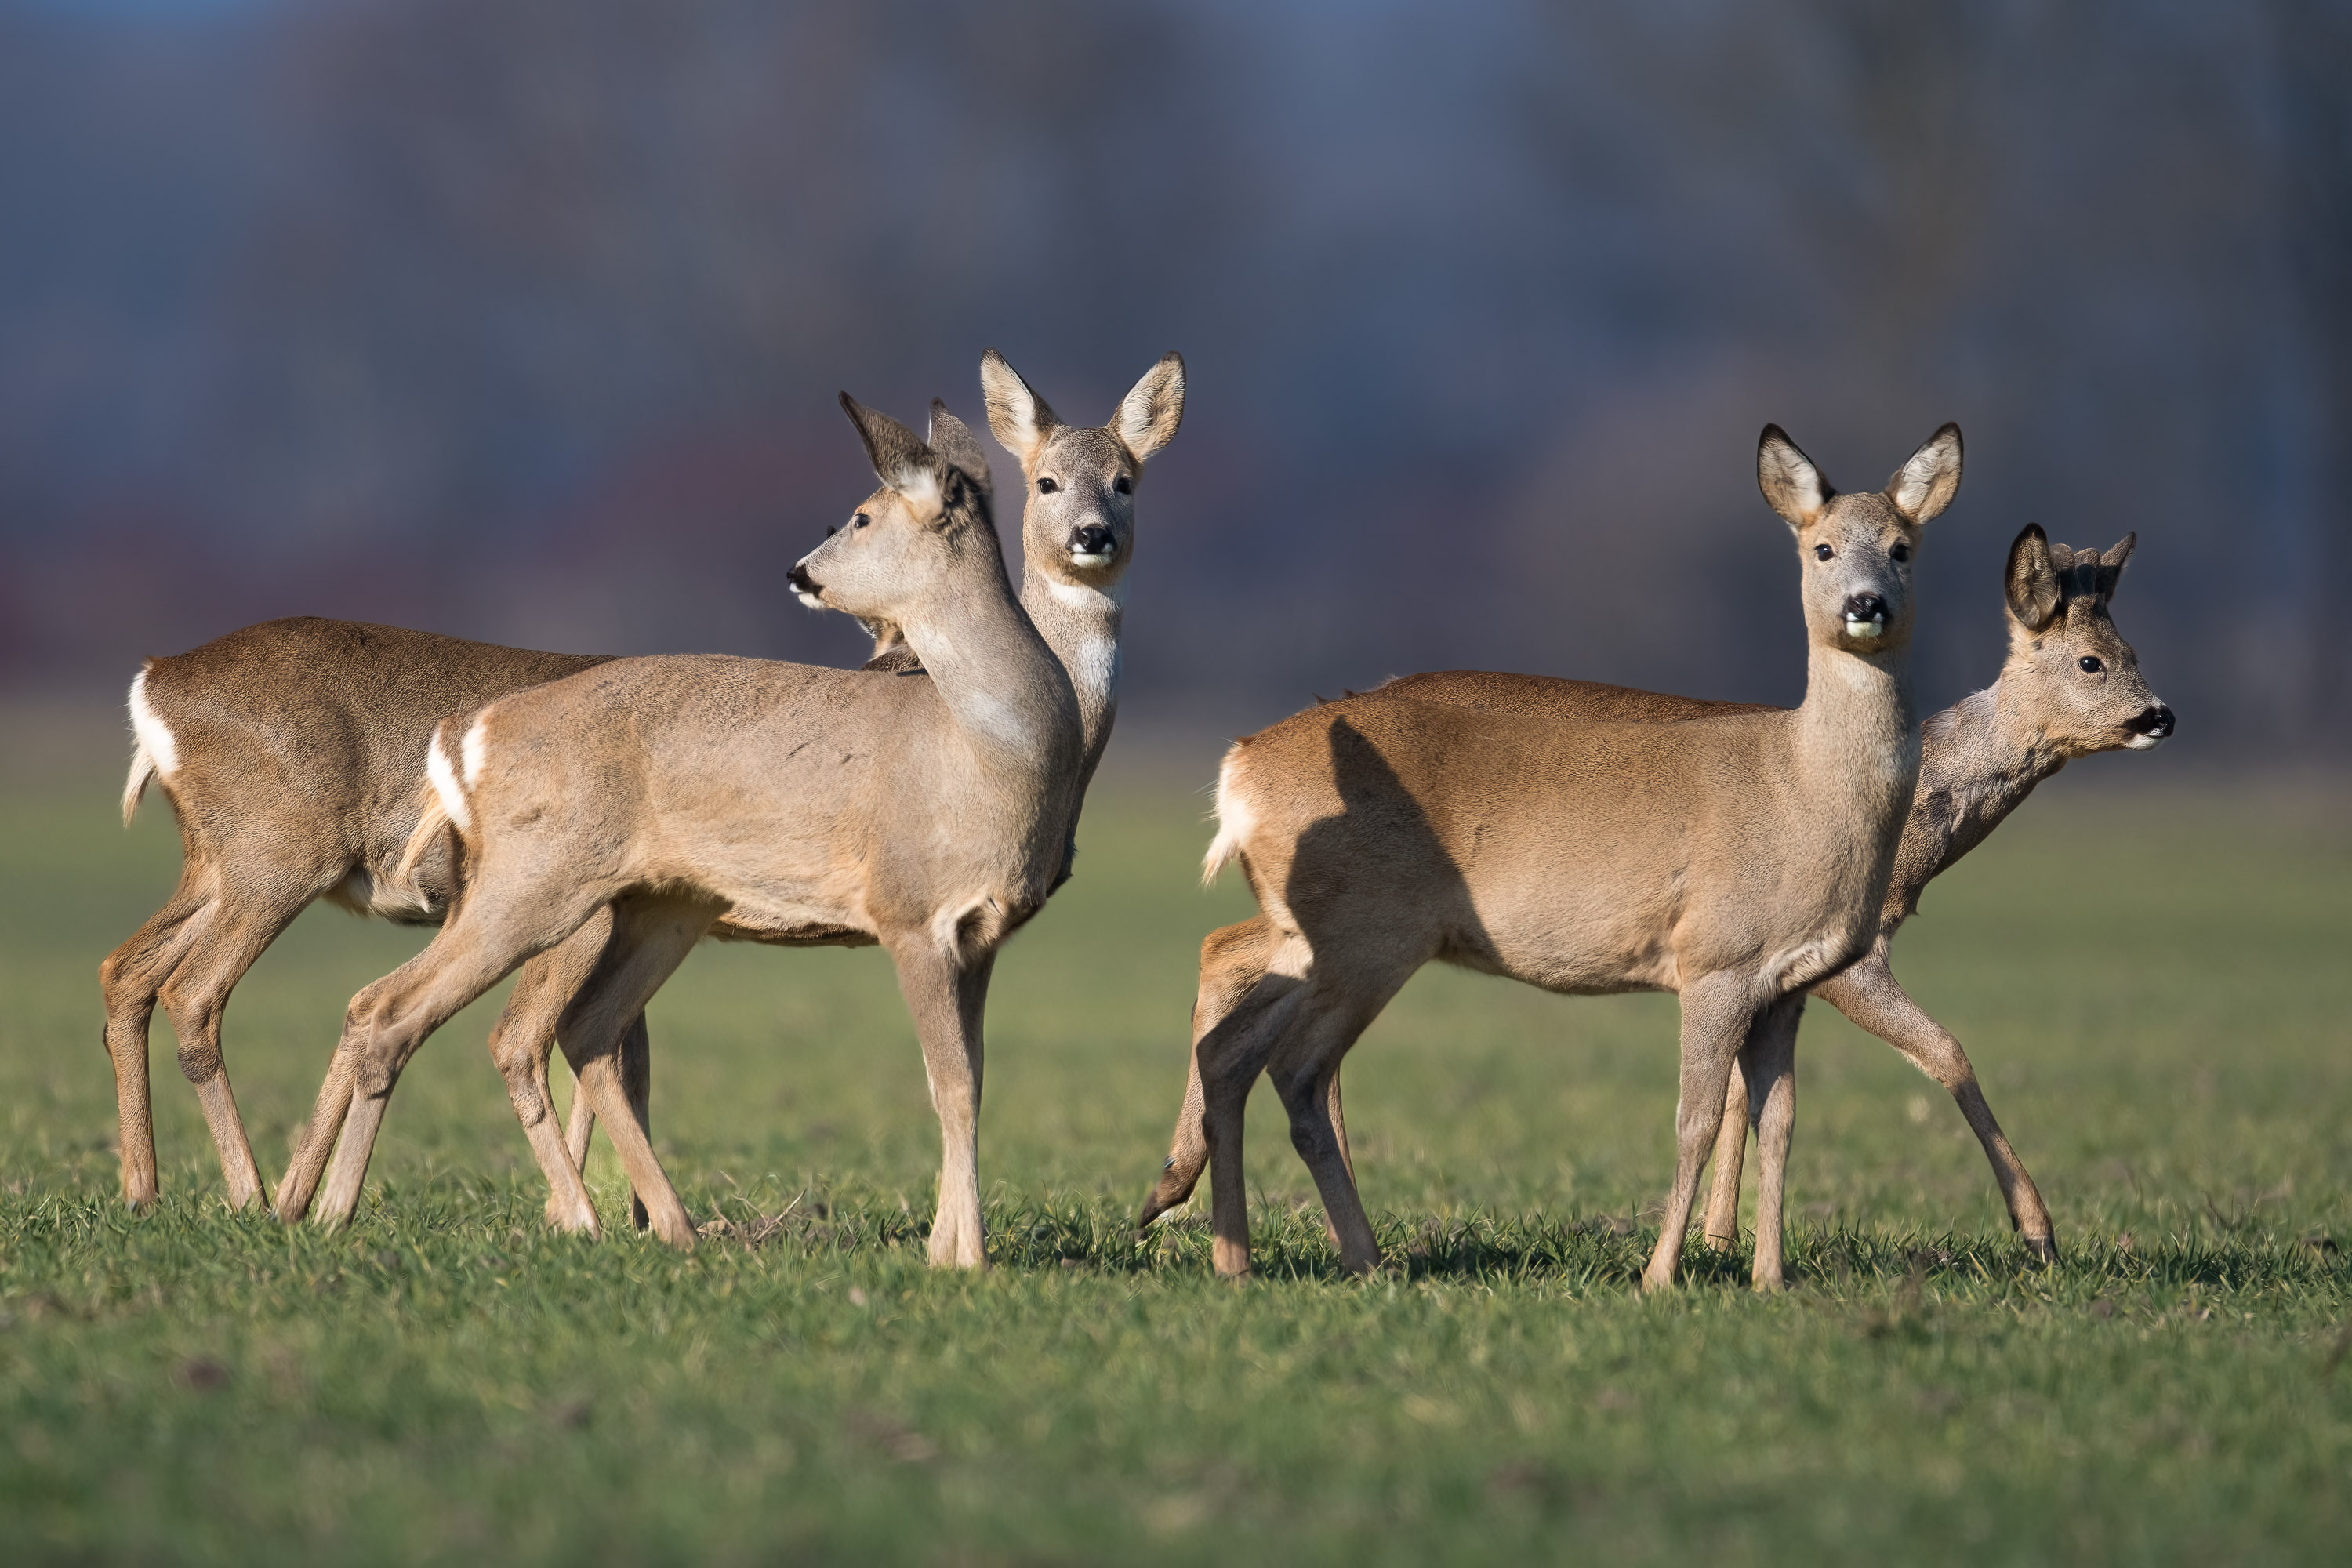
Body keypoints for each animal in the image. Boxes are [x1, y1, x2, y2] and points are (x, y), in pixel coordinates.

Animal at [269, 399, 1082, 1269]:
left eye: (862, 515)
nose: (799, 571)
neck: (985, 747)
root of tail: (469, 732)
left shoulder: (983, 935)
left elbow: (972, 1084)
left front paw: (955, 1247)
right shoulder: (909, 914)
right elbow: (950, 1085)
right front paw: (964, 1259)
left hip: (662, 907)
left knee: (577, 1029)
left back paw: (671, 1225)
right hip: (535, 886)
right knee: (397, 1008)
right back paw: (336, 1213)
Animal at [1138, 521, 2164, 1269]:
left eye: (2129, 645)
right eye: (2089, 661)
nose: (2161, 713)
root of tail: (1240, 765)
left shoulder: (1783, 971)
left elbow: (1758, 1096)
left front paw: (1722, 1238)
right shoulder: (1843, 955)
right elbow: (1945, 1052)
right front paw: (2038, 1230)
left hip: (1312, 928)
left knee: (1226, 969)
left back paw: (1183, 1198)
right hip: (1364, 934)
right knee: (1285, 1042)